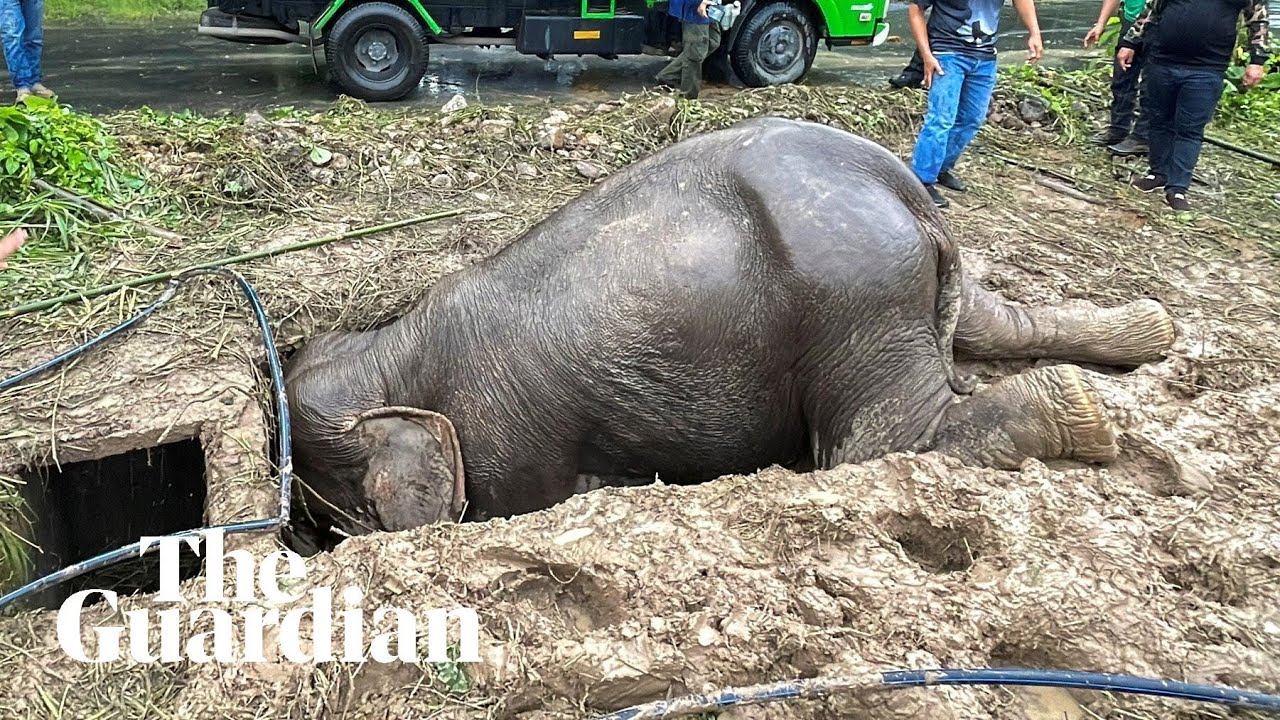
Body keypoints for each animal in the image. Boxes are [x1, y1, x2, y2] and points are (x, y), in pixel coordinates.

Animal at [283, 116, 1176, 540]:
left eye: (341, 514)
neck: (392, 349)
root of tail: (905, 189)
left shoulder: (510, 444)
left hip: (854, 302)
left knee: (878, 444)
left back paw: (1082, 412)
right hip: (902, 286)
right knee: (995, 323)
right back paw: (1149, 334)